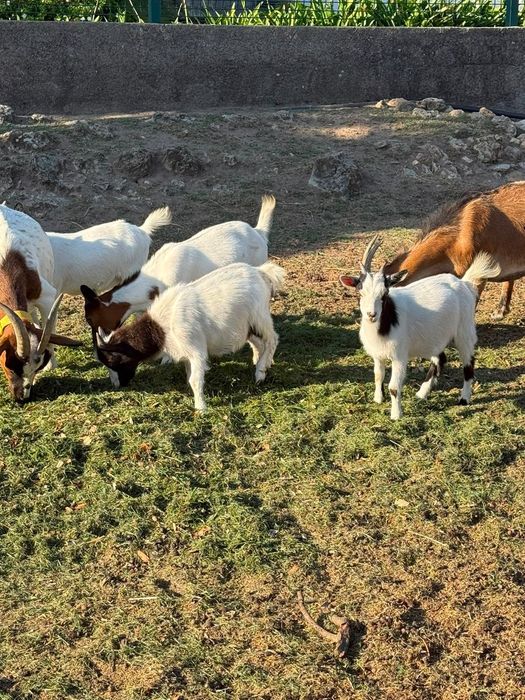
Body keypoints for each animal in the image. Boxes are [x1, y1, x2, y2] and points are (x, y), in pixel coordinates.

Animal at [94, 261, 285, 411]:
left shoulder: (196, 350)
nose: (118, 385)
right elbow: (189, 374)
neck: (161, 327)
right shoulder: (185, 353)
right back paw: (260, 362)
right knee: (259, 343)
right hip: (246, 326)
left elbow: (195, 379)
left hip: (260, 317)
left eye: (114, 359)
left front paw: (200, 408)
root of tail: (260, 272)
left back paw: (260, 373)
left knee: (272, 339)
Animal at [340, 236, 500, 420]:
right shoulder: (377, 355)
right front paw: (378, 399)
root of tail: (464, 283)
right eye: (360, 293)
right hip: (435, 336)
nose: (371, 314)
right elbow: (378, 376)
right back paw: (421, 394)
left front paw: (396, 415)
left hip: (464, 331)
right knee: (440, 359)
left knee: (468, 363)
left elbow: (394, 386)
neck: (386, 322)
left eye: (385, 294)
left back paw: (464, 398)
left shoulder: (399, 356)